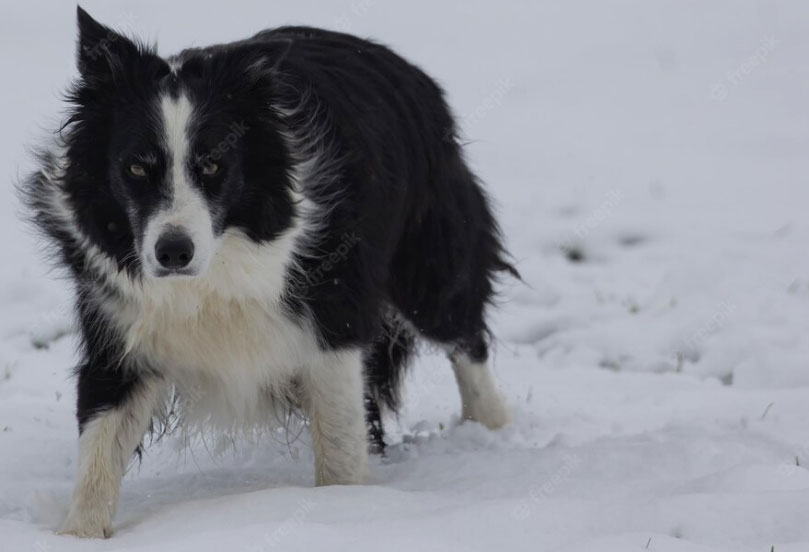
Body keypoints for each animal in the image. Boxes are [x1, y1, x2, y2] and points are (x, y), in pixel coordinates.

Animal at [23, 6, 516, 536]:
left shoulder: (332, 316)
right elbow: (100, 439)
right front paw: (78, 534)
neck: (217, 267)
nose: (172, 253)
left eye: (212, 165)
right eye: (136, 168)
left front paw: (343, 507)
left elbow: (339, 443)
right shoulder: (119, 324)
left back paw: (493, 431)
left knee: (464, 335)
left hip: (430, 254)